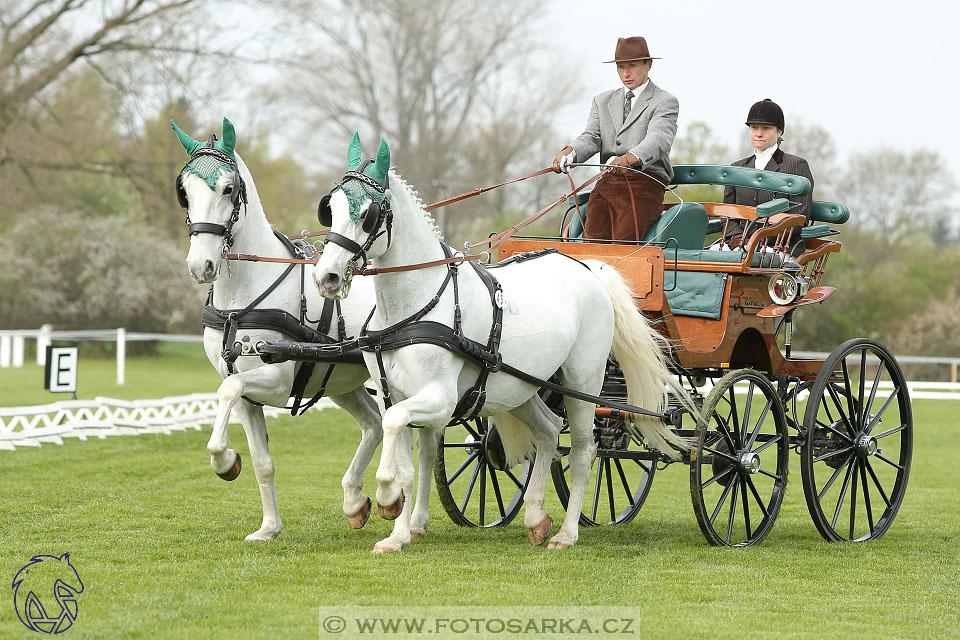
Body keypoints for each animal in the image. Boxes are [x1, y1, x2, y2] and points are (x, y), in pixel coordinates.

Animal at [172, 116, 382, 540]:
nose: (201, 265)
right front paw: (268, 526)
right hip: (342, 381)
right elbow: (262, 462)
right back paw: (355, 501)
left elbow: (226, 392)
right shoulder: (248, 397)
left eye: (229, 188)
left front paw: (225, 460)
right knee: (375, 426)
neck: (239, 303)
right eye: (183, 191)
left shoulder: (278, 379)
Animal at [312, 134, 692, 552]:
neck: (416, 304)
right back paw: (536, 518)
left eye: (369, 214)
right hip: (522, 385)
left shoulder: (439, 397)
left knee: (583, 451)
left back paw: (566, 534)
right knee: (548, 431)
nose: (326, 277)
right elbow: (405, 460)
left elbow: (395, 436)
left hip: (583, 382)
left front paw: (386, 501)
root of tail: (590, 267)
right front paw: (396, 533)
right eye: (329, 209)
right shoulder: (393, 394)